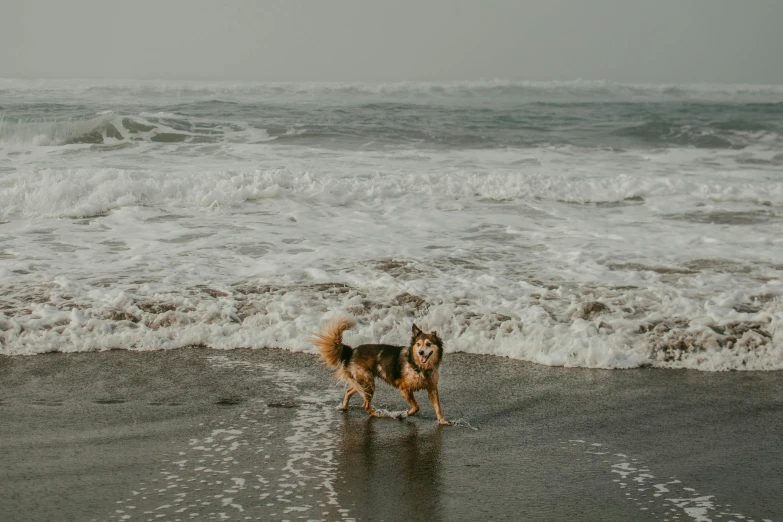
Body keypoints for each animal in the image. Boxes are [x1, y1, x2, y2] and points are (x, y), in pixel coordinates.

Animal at [310, 316, 448, 422]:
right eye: (418, 344)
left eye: (428, 344)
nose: (420, 352)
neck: (419, 366)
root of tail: (352, 351)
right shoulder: (404, 388)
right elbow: (416, 407)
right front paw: (404, 414)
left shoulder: (432, 387)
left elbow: (438, 407)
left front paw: (442, 421)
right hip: (368, 382)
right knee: (366, 404)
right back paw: (376, 414)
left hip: (362, 382)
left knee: (350, 391)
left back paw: (344, 407)